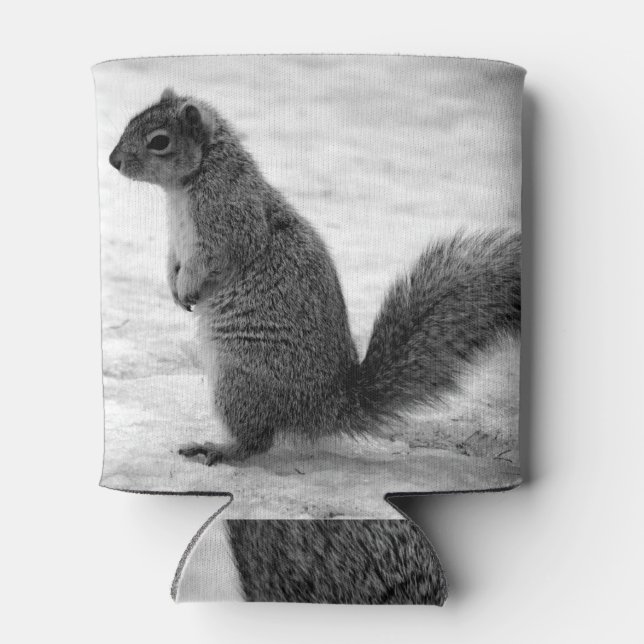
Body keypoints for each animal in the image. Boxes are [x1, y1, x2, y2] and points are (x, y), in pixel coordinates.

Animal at [109, 87, 521, 466]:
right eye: (131, 120)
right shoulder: (178, 242)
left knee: (257, 441)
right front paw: (174, 288)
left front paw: (188, 288)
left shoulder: (230, 223)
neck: (187, 185)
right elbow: (173, 262)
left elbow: (214, 260)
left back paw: (219, 449)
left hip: (240, 378)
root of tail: (327, 405)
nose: (113, 161)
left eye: (159, 141)